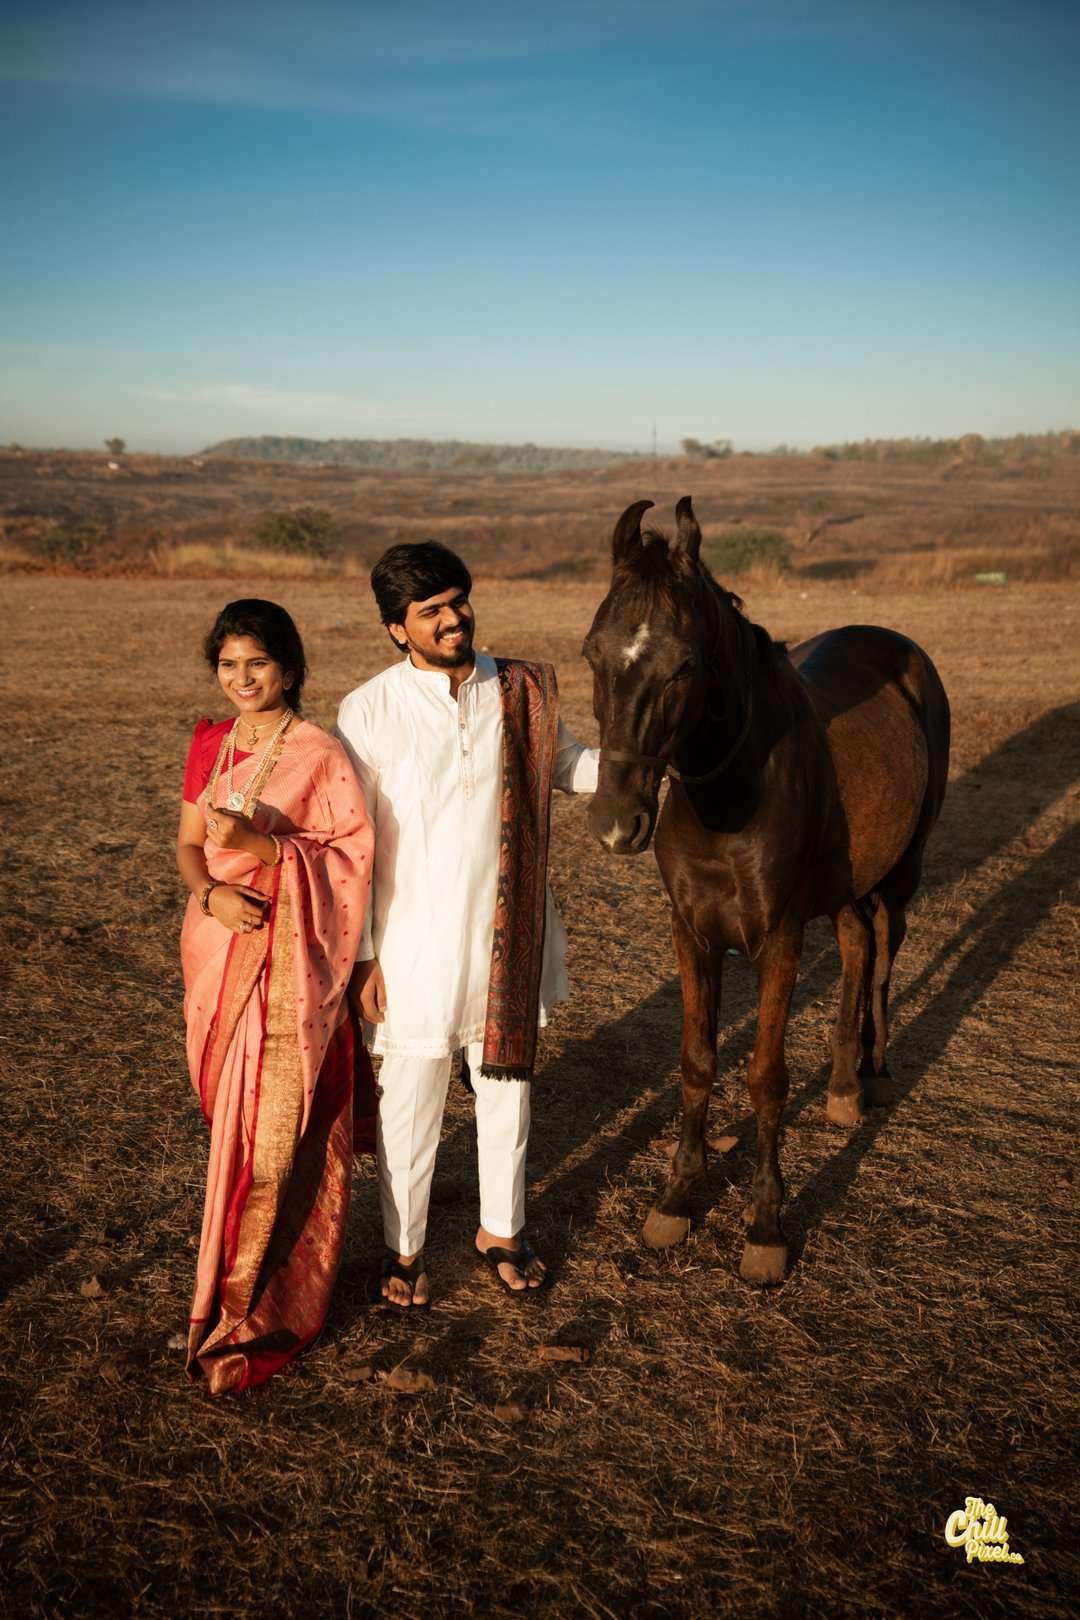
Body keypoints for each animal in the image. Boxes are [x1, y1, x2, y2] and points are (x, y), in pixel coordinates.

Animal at [584, 497, 950, 1284]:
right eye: (593, 653)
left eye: (685, 666)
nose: (616, 823)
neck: (729, 790)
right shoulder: (692, 933)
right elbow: (698, 1062)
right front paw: (678, 1198)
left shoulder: (777, 940)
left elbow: (765, 1078)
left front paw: (765, 1226)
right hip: (846, 889)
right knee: (855, 947)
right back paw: (841, 1087)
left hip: (901, 875)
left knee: (883, 958)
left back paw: (873, 1075)